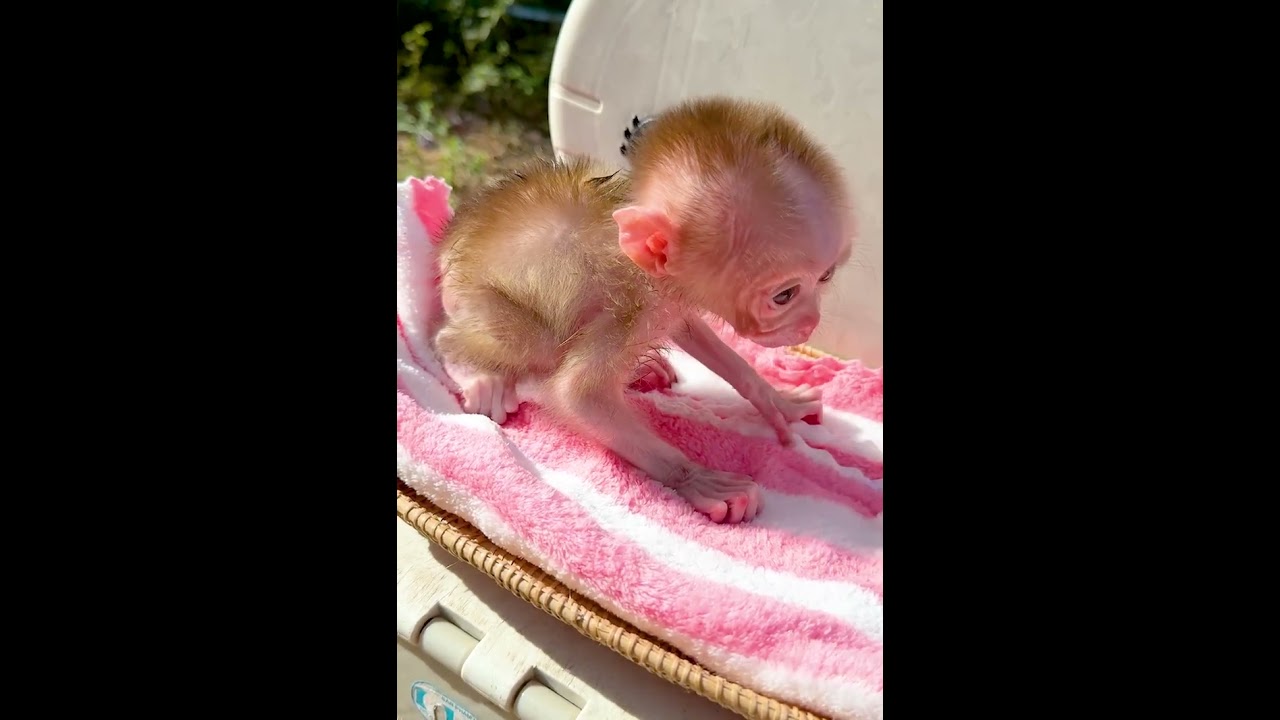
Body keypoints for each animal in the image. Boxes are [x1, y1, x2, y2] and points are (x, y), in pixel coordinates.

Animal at [434, 96, 855, 525]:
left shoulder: (670, 301)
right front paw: (699, 480)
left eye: (825, 277)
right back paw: (475, 370)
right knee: (507, 341)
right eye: (784, 296)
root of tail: (452, 239)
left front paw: (775, 401)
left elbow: (699, 337)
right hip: (475, 301)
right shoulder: (631, 310)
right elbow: (578, 396)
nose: (809, 324)